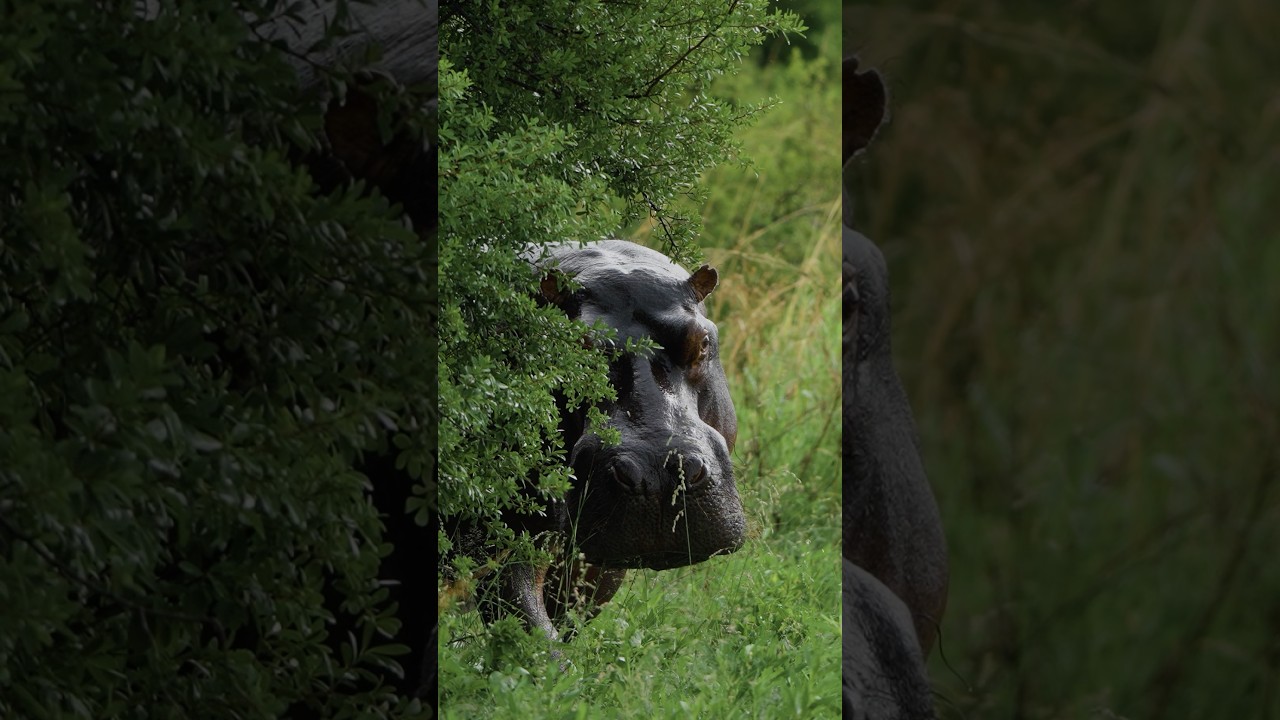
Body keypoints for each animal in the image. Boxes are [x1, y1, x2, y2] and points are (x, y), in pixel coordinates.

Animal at [462, 239, 746, 640]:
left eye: (702, 341)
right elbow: (530, 632)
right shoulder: (504, 535)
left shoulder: (599, 565)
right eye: (573, 344)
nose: (658, 475)